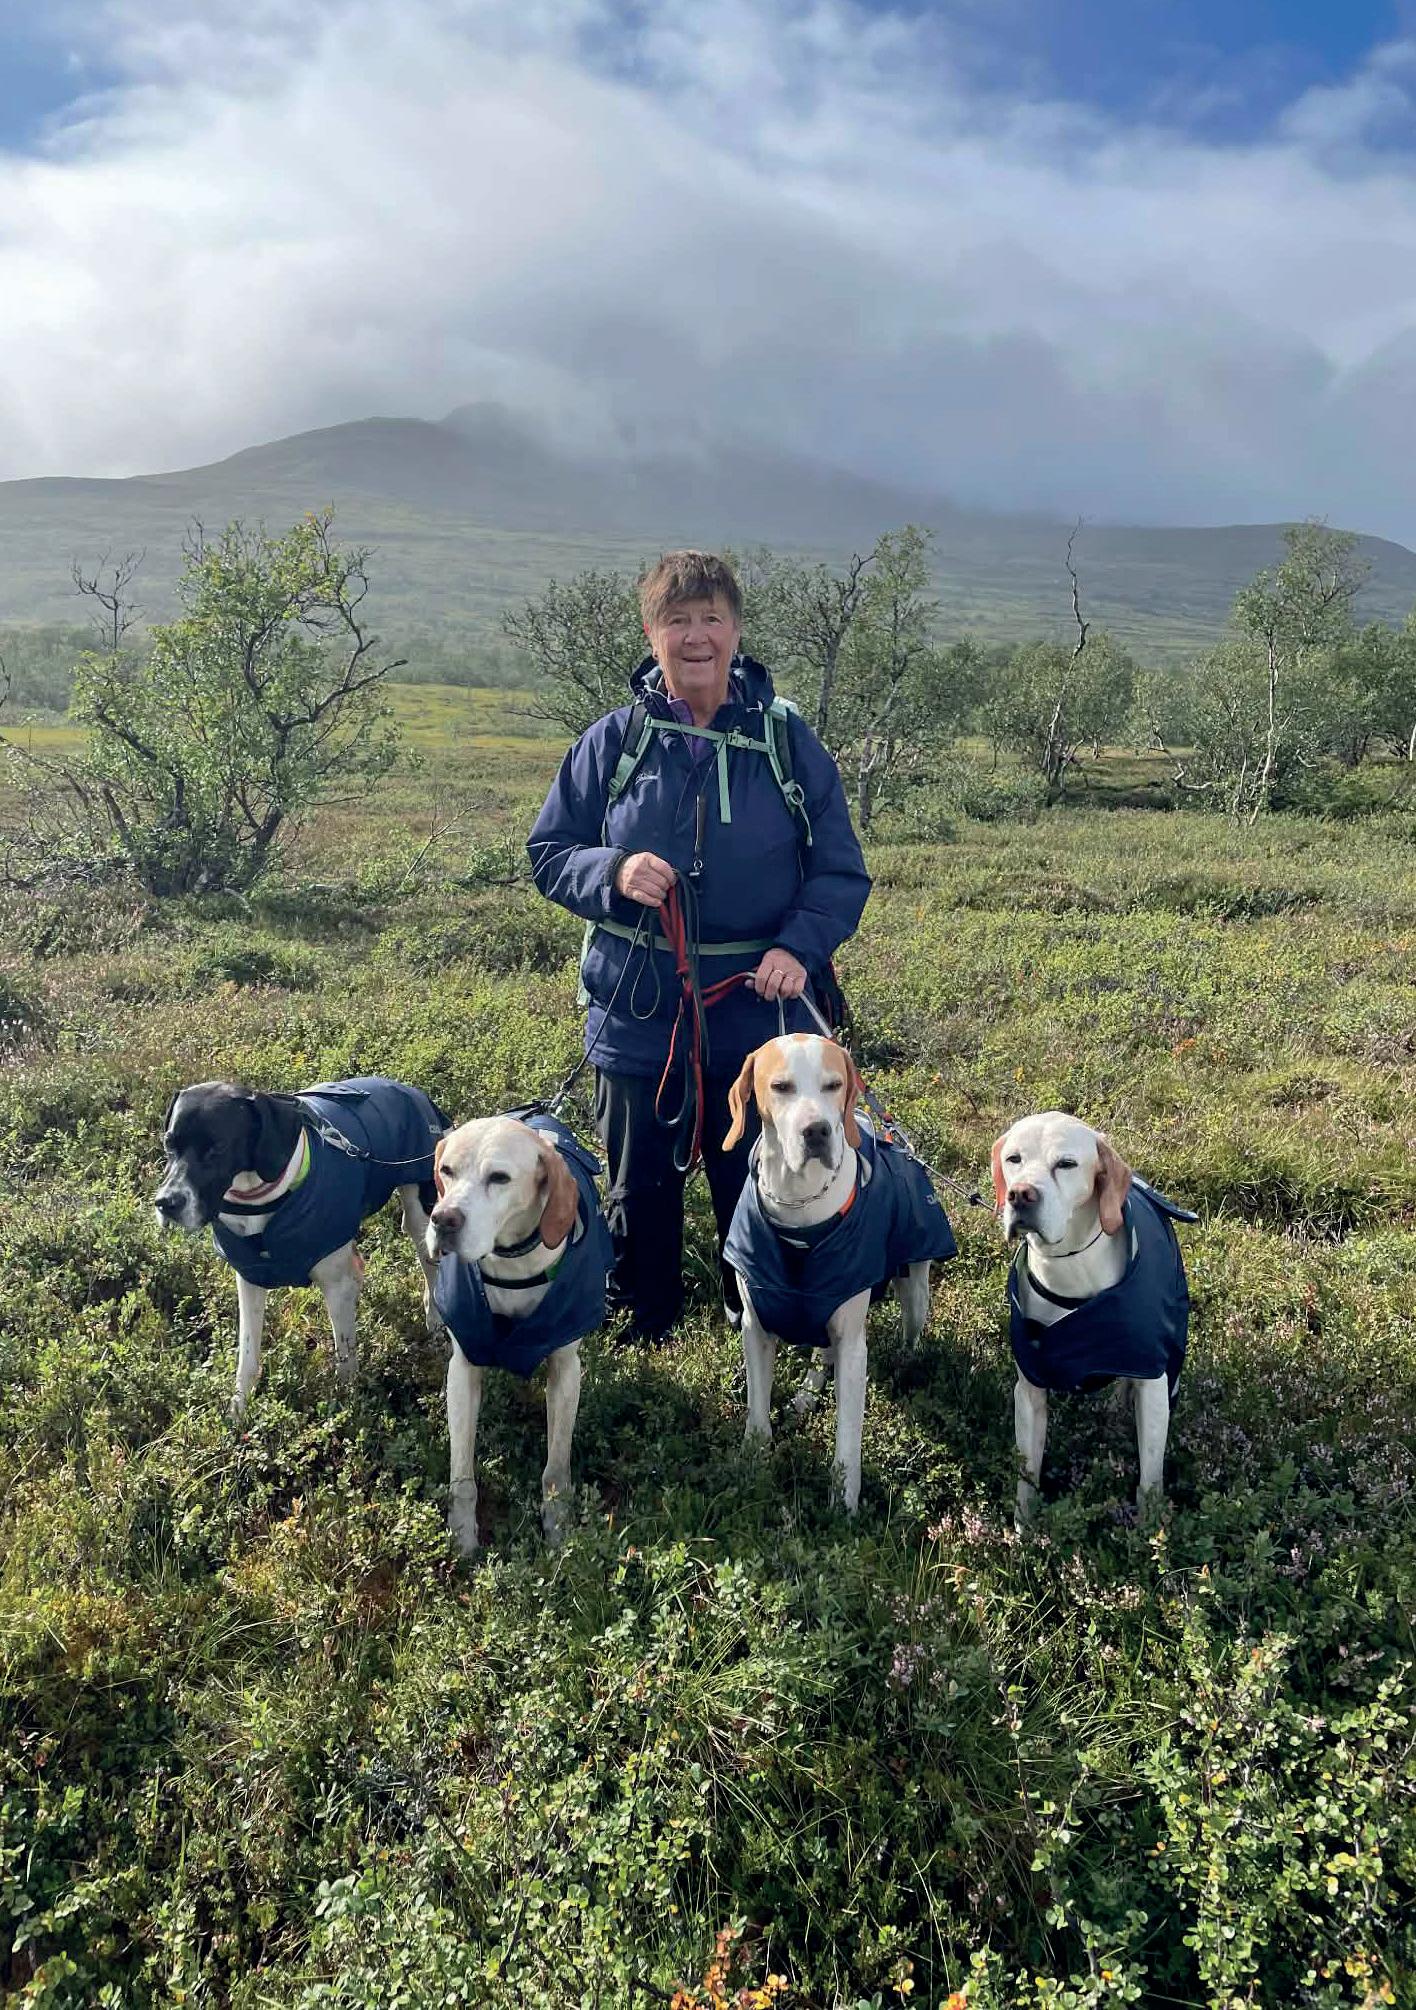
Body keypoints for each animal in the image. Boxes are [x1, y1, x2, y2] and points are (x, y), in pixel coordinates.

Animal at [155, 1076, 446, 1415]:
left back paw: (436, 1324)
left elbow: (345, 1357)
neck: (259, 1199)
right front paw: (239, 1409)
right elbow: (247, 1356)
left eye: (217, 1148)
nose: (165, 1203)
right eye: (168, 1143)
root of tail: (407, 1088)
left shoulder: (335, 1284)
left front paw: (348, 1410)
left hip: (420, 1214)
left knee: (430, 1272)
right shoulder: (250, 1278)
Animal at [426, 1110, 611, 1556]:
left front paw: (559, 1529)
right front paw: (462, 1536)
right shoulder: (462, 1370)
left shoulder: (565, 1371)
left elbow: (555, 1469)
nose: (443, 1220)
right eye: (447, 1170)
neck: (511, 1262)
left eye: (499, 1177)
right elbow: (462, 1473)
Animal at [722, 1033, 956, 1512]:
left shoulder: (853, 1344)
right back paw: (808, 1393)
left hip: (914, 1291)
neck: (800, 1206)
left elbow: (848, 1435)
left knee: (910, 1331)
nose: (817, 1131)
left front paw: (843, 1502)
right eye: (781, 1087)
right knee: (820, 1353)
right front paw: (753, 1464)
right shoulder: (756, 1327)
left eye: (834, 1085)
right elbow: (757, 1412)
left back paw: (905, 1363)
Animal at [993, 1111, 1195, 1523]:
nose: (1020, 1194)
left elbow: (1150, 1478)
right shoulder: (1029, 1392)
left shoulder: (1153, 1387)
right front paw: (1023, 1528)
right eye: (1013, 1159)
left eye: (1066, 1164)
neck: (1069, 1270)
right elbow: (1027, 1474)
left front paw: (1150, 1533)